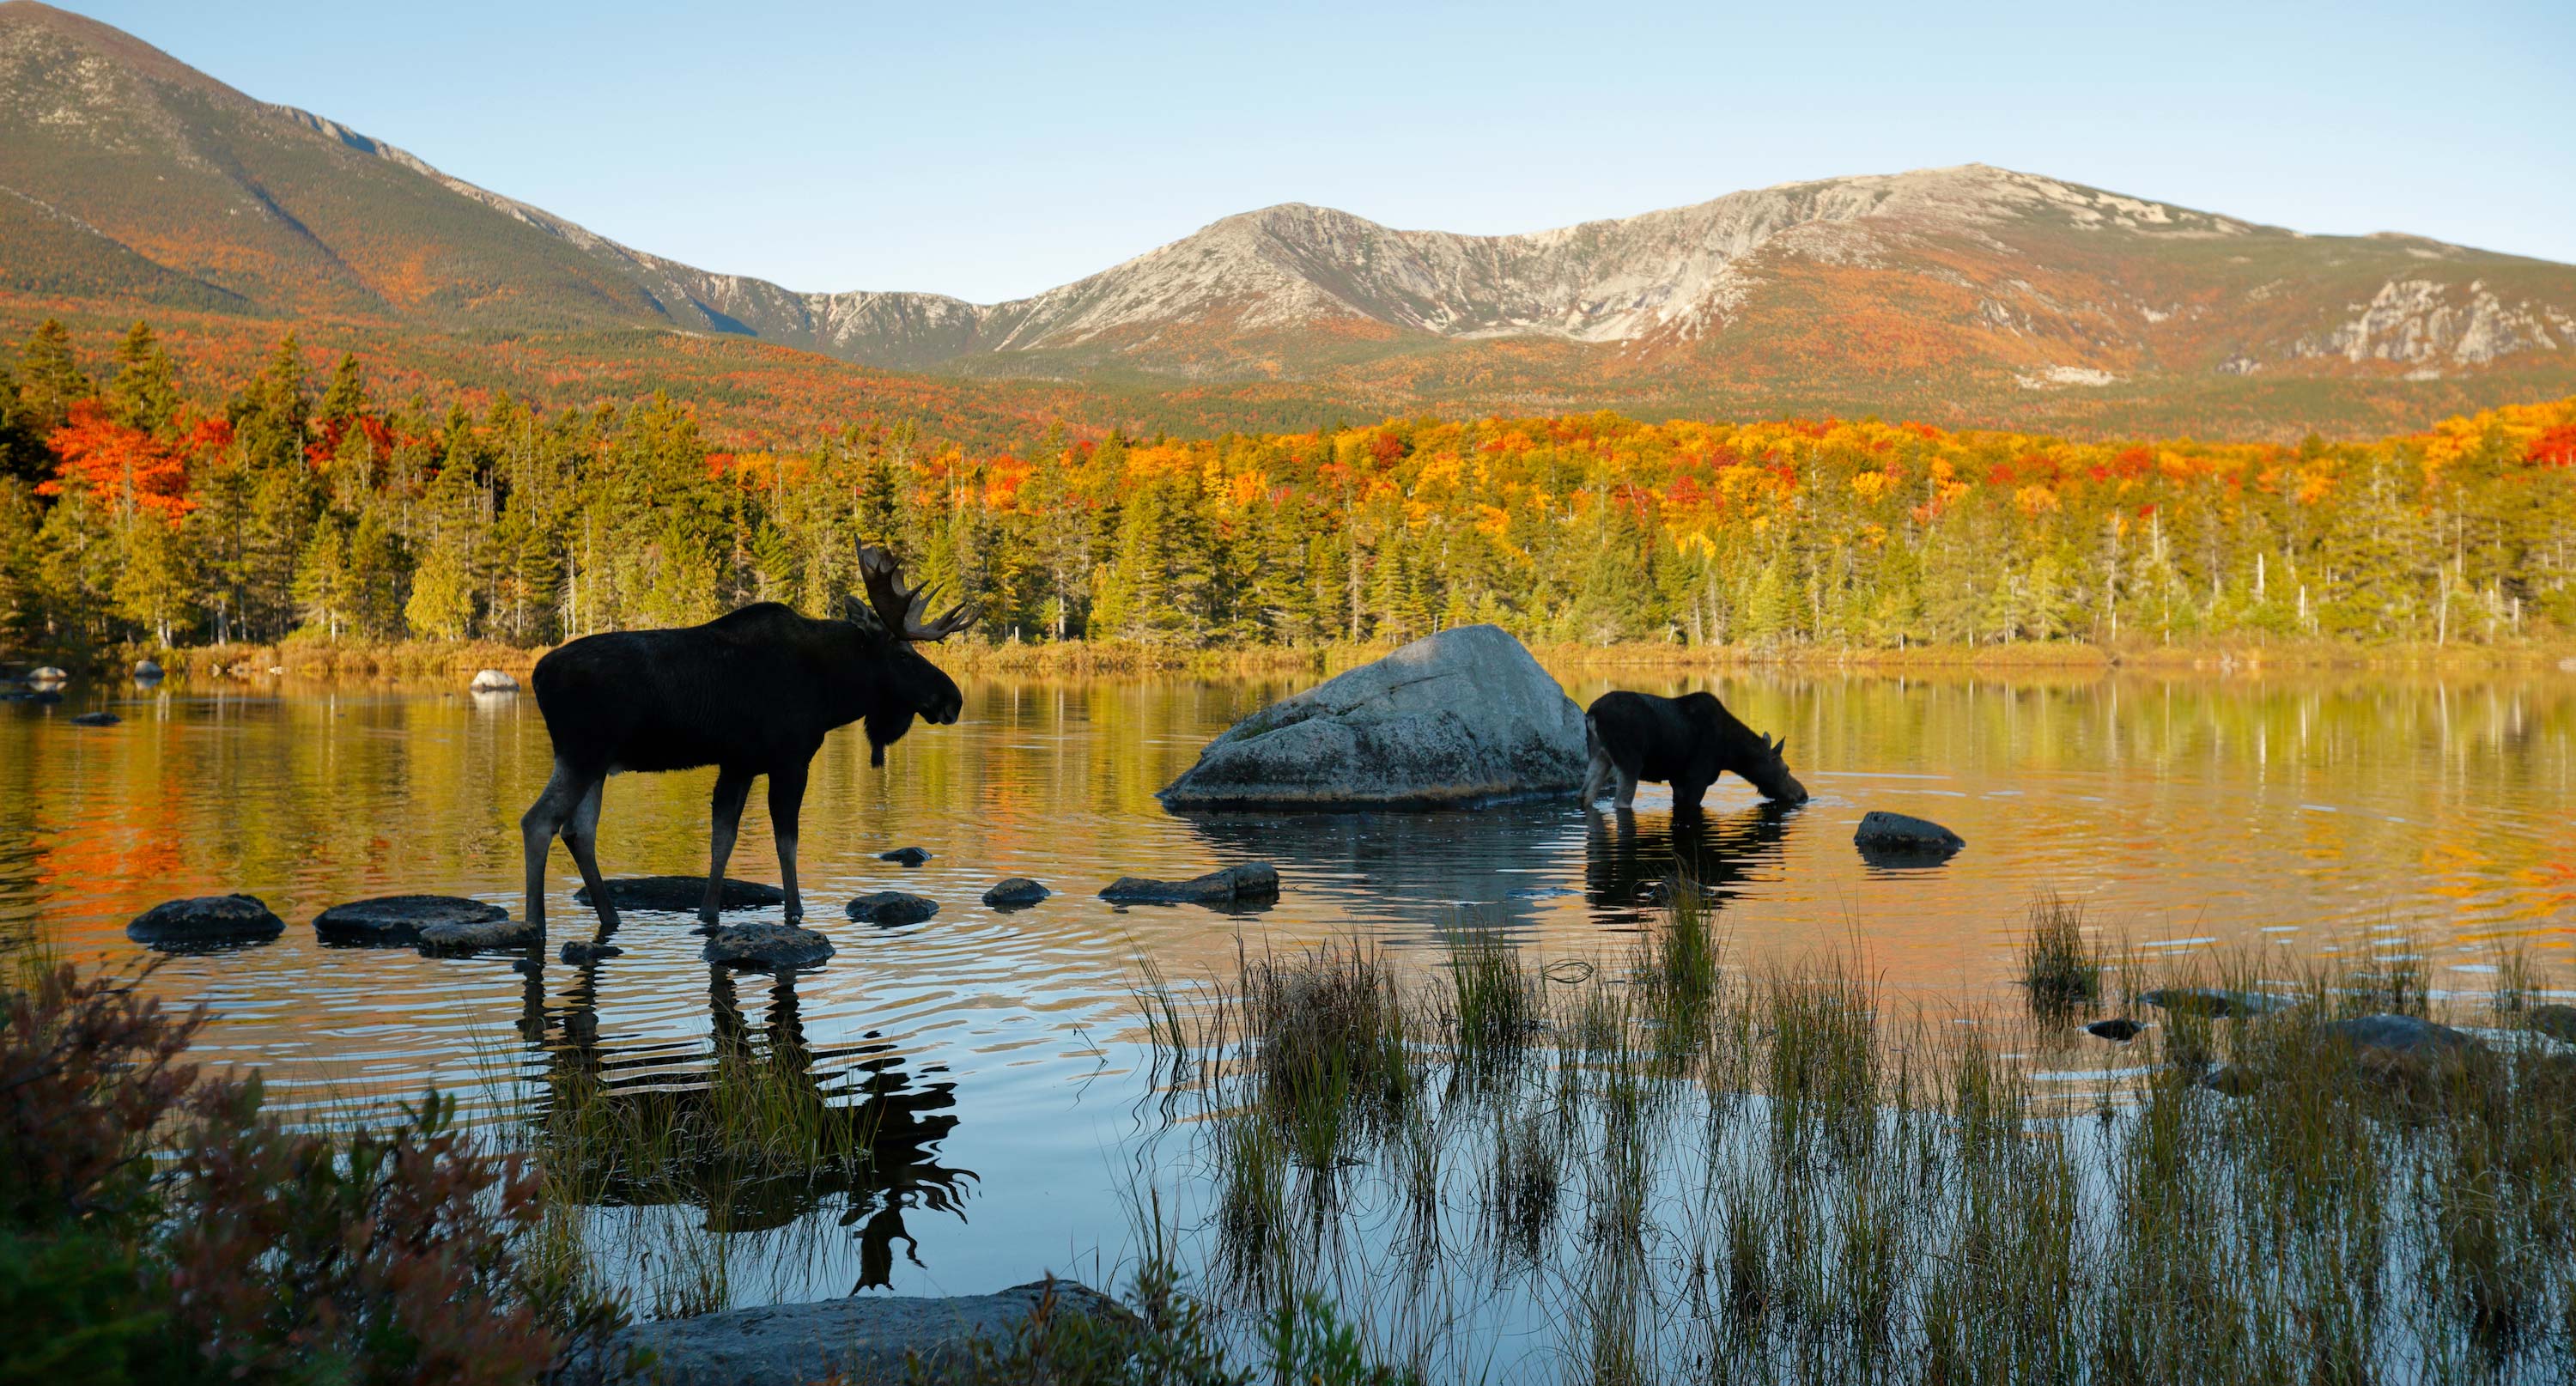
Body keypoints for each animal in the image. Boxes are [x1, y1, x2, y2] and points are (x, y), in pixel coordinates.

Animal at [521, 544, 977, 938]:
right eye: (904, 656)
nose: (953, 699)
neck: (832, 692)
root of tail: (538, 675)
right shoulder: (789, 759)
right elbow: (786, 842)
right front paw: (795, 911)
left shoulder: (738, 763)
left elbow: (723, 839)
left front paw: (708, 912)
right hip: (582, 753)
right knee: (538, 822)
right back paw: (535, 923)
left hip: (596, 764)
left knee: (579, 831)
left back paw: (609, 915)